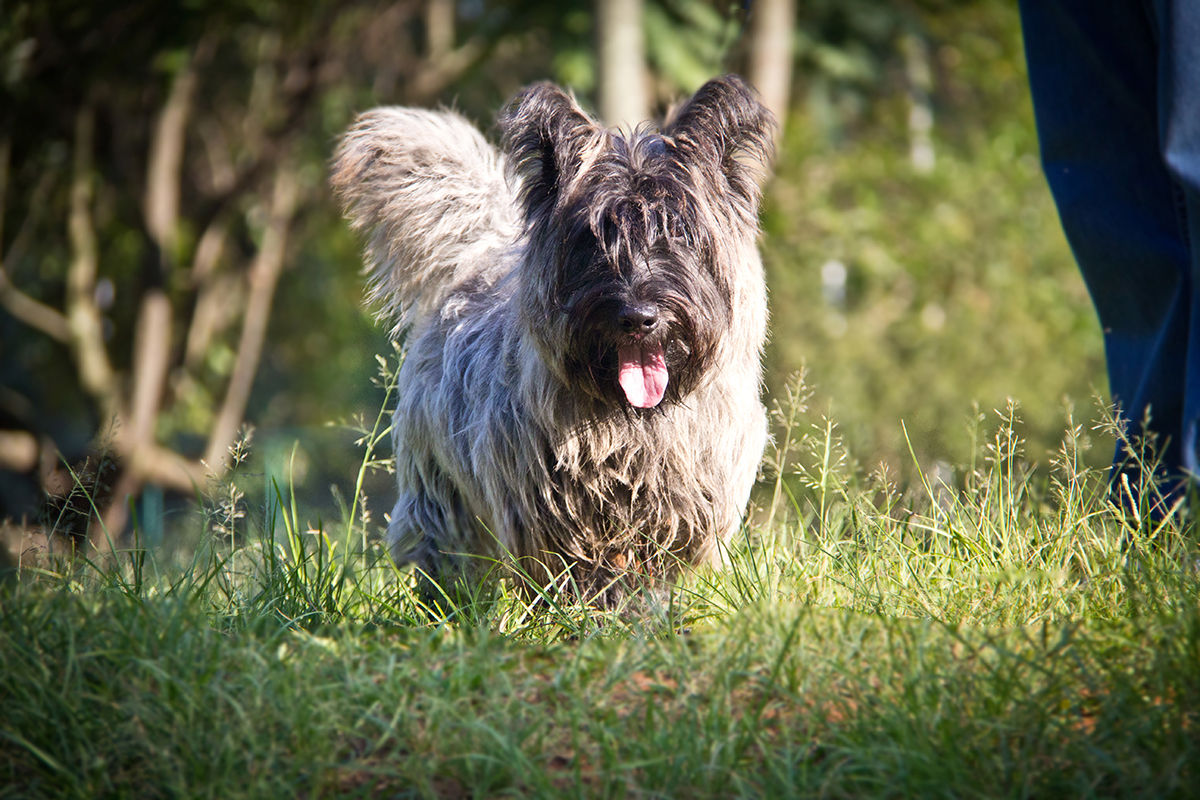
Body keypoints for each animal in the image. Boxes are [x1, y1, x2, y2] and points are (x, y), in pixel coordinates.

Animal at [333, 77, 772, 609]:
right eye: (592, 237)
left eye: (680, 232)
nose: (638, 317)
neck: (631, 423)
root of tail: (476, 255)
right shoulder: (549, 514)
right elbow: (579, 576)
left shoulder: (683, 506)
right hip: (440, 495)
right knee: (444, 553)